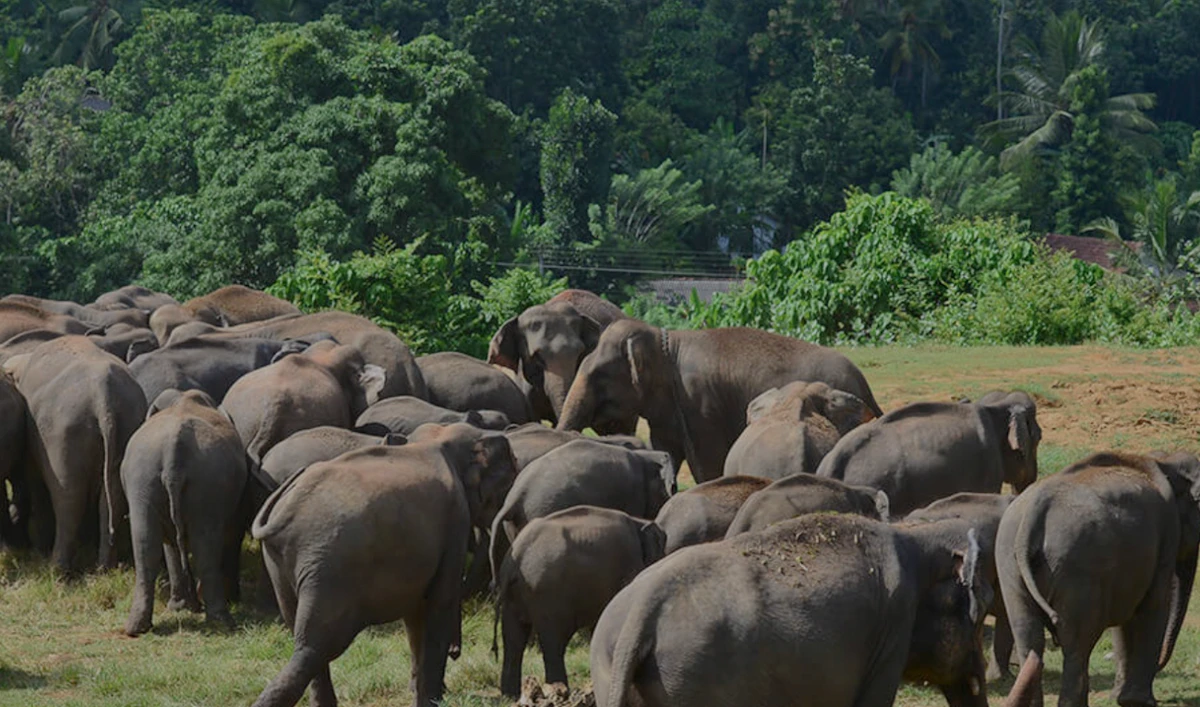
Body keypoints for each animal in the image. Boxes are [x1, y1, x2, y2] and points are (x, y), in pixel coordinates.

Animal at [3, 336, 147, 573]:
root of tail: (103, 397)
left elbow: (33, 478)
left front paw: (39, 549)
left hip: (64, 434)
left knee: (68, 497)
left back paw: (57, 569)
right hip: (126, 426)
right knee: (112, 499)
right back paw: (105, 568)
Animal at [121, 389, 248, 636]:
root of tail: (174, 452)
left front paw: (183, 607)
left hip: (144, 479)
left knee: (146, 544)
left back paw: (137, 627)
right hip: (206, 483)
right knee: (205, 546)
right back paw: (220, 622)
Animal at [495, 505, 666, 697]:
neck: (639, 522)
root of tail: (516, 558)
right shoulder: (628, 567)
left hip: (515, 596)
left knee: (514, 641)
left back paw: (510, 695)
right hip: (547, 594)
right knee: (553, 643)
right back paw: (560, 690)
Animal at [589, 513, 994, 707]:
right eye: (981, 613)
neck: (915, 534)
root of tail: (643, 611)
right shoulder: (892, 631)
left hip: (614, 672)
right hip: (691, 677)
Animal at [996, 451, 1200, 707]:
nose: (1161, 666)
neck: (1164, 461)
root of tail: (1034, 511)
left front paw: (1121, 697)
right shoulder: (1167, 533)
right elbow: (1154, 604)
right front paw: (1139, 701)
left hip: (1009, 563)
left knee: (1029, 638)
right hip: (1078, 571)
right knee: (1077, 645)